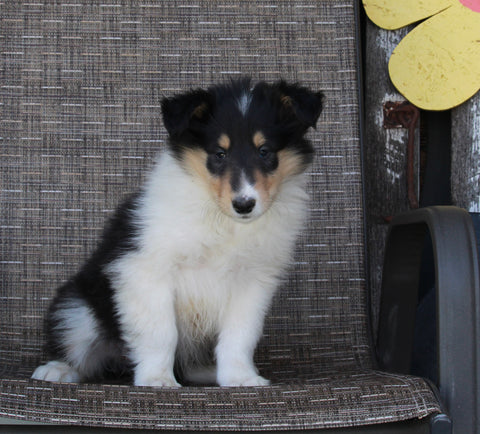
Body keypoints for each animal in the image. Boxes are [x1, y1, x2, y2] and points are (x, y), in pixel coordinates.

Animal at [31, 78, 324, 386]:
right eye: (219, 154)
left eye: (264, 151)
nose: (244, 204)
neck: (221, 219)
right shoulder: (145, 269)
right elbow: (161, 333)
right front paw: (157, 380)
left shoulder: (253, 280)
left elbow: (239, 335)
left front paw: (240, 378)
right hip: (77, 310)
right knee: (79, 347)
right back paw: (58, 369)